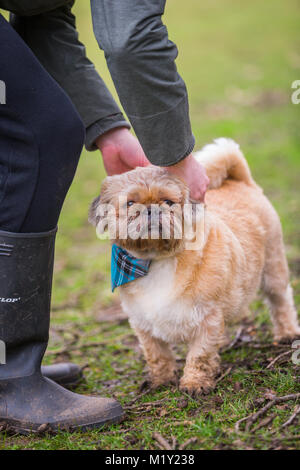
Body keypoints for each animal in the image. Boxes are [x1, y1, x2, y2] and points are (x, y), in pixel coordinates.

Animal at [89, 140, 300, 396]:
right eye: (130, 203)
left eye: (168, 202)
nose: (151, 209)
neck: (156, 258)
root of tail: (238, 180)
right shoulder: (143, 325)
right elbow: (157, 355)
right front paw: (161, 380)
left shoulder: (207, 319)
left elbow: (200, 356)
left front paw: (194, 383)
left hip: (273, 267)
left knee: (281, 301)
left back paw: (287, 332)